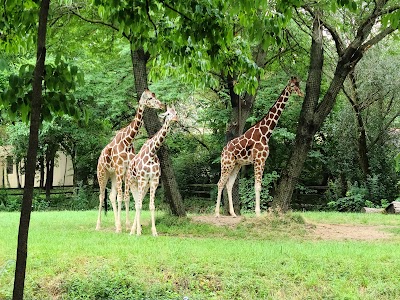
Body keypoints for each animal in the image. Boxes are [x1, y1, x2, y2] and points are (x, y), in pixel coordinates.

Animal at [96, 88, 165, 233]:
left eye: (154, 95)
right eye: (149, 98)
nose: (162, 105)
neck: (128, 140)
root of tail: (100, 157)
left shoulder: (126, 170)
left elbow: (126, 197)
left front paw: (127, 226)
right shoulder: (120, 169)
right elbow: (121, 197)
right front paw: (120, 228)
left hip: (113, 175)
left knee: (111, 196)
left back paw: (116, 223)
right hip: (102, 173)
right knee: (102, 196)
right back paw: (98, 225)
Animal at [127, 106, 179, 236]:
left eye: (176, 113)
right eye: (168, 113)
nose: (175, 119)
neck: (151, 153)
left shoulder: (154, 181)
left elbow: (151, 206)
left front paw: (154, 232)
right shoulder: (142, 179)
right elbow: (139, 205)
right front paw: (138, 233)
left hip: (145, 186)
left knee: (138, 202)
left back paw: (136, 229)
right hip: (133, 183)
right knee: (137, 203)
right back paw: (133, 231)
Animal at [216, 77, 304, 218]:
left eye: (298, 85)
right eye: (292, 86)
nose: (301, 94)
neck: (266, 133)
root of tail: (223, 151)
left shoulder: (262, 161)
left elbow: (259, 186)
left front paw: (257, 212)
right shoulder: (259, 160)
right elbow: (257, 186)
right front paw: (258, 213)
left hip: (236, 165)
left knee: (229, 185)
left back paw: (233, 214)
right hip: (226, 164)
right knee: (220, 183)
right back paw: (217, 213)